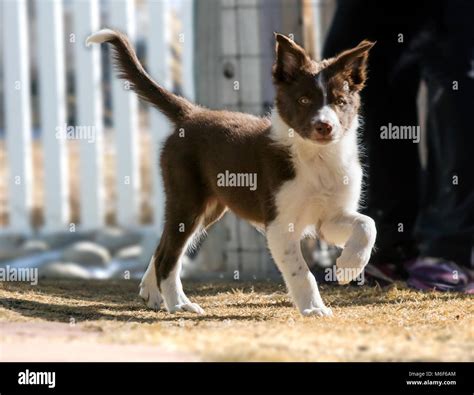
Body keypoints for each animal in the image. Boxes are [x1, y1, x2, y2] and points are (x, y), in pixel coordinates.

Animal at [87, 29, 378, 318]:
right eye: (304, 100)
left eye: (341, 102)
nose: (325, 127)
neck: (317, 158)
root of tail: (191, 113)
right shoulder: (280, 224)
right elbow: (301, 272)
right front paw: (313, 308)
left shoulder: (329, 217)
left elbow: (366, 224)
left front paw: (349, 266)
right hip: (188, 201)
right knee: (169, 255)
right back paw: (179, 303)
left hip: (209, 208)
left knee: (162, 248)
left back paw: (152, 292)